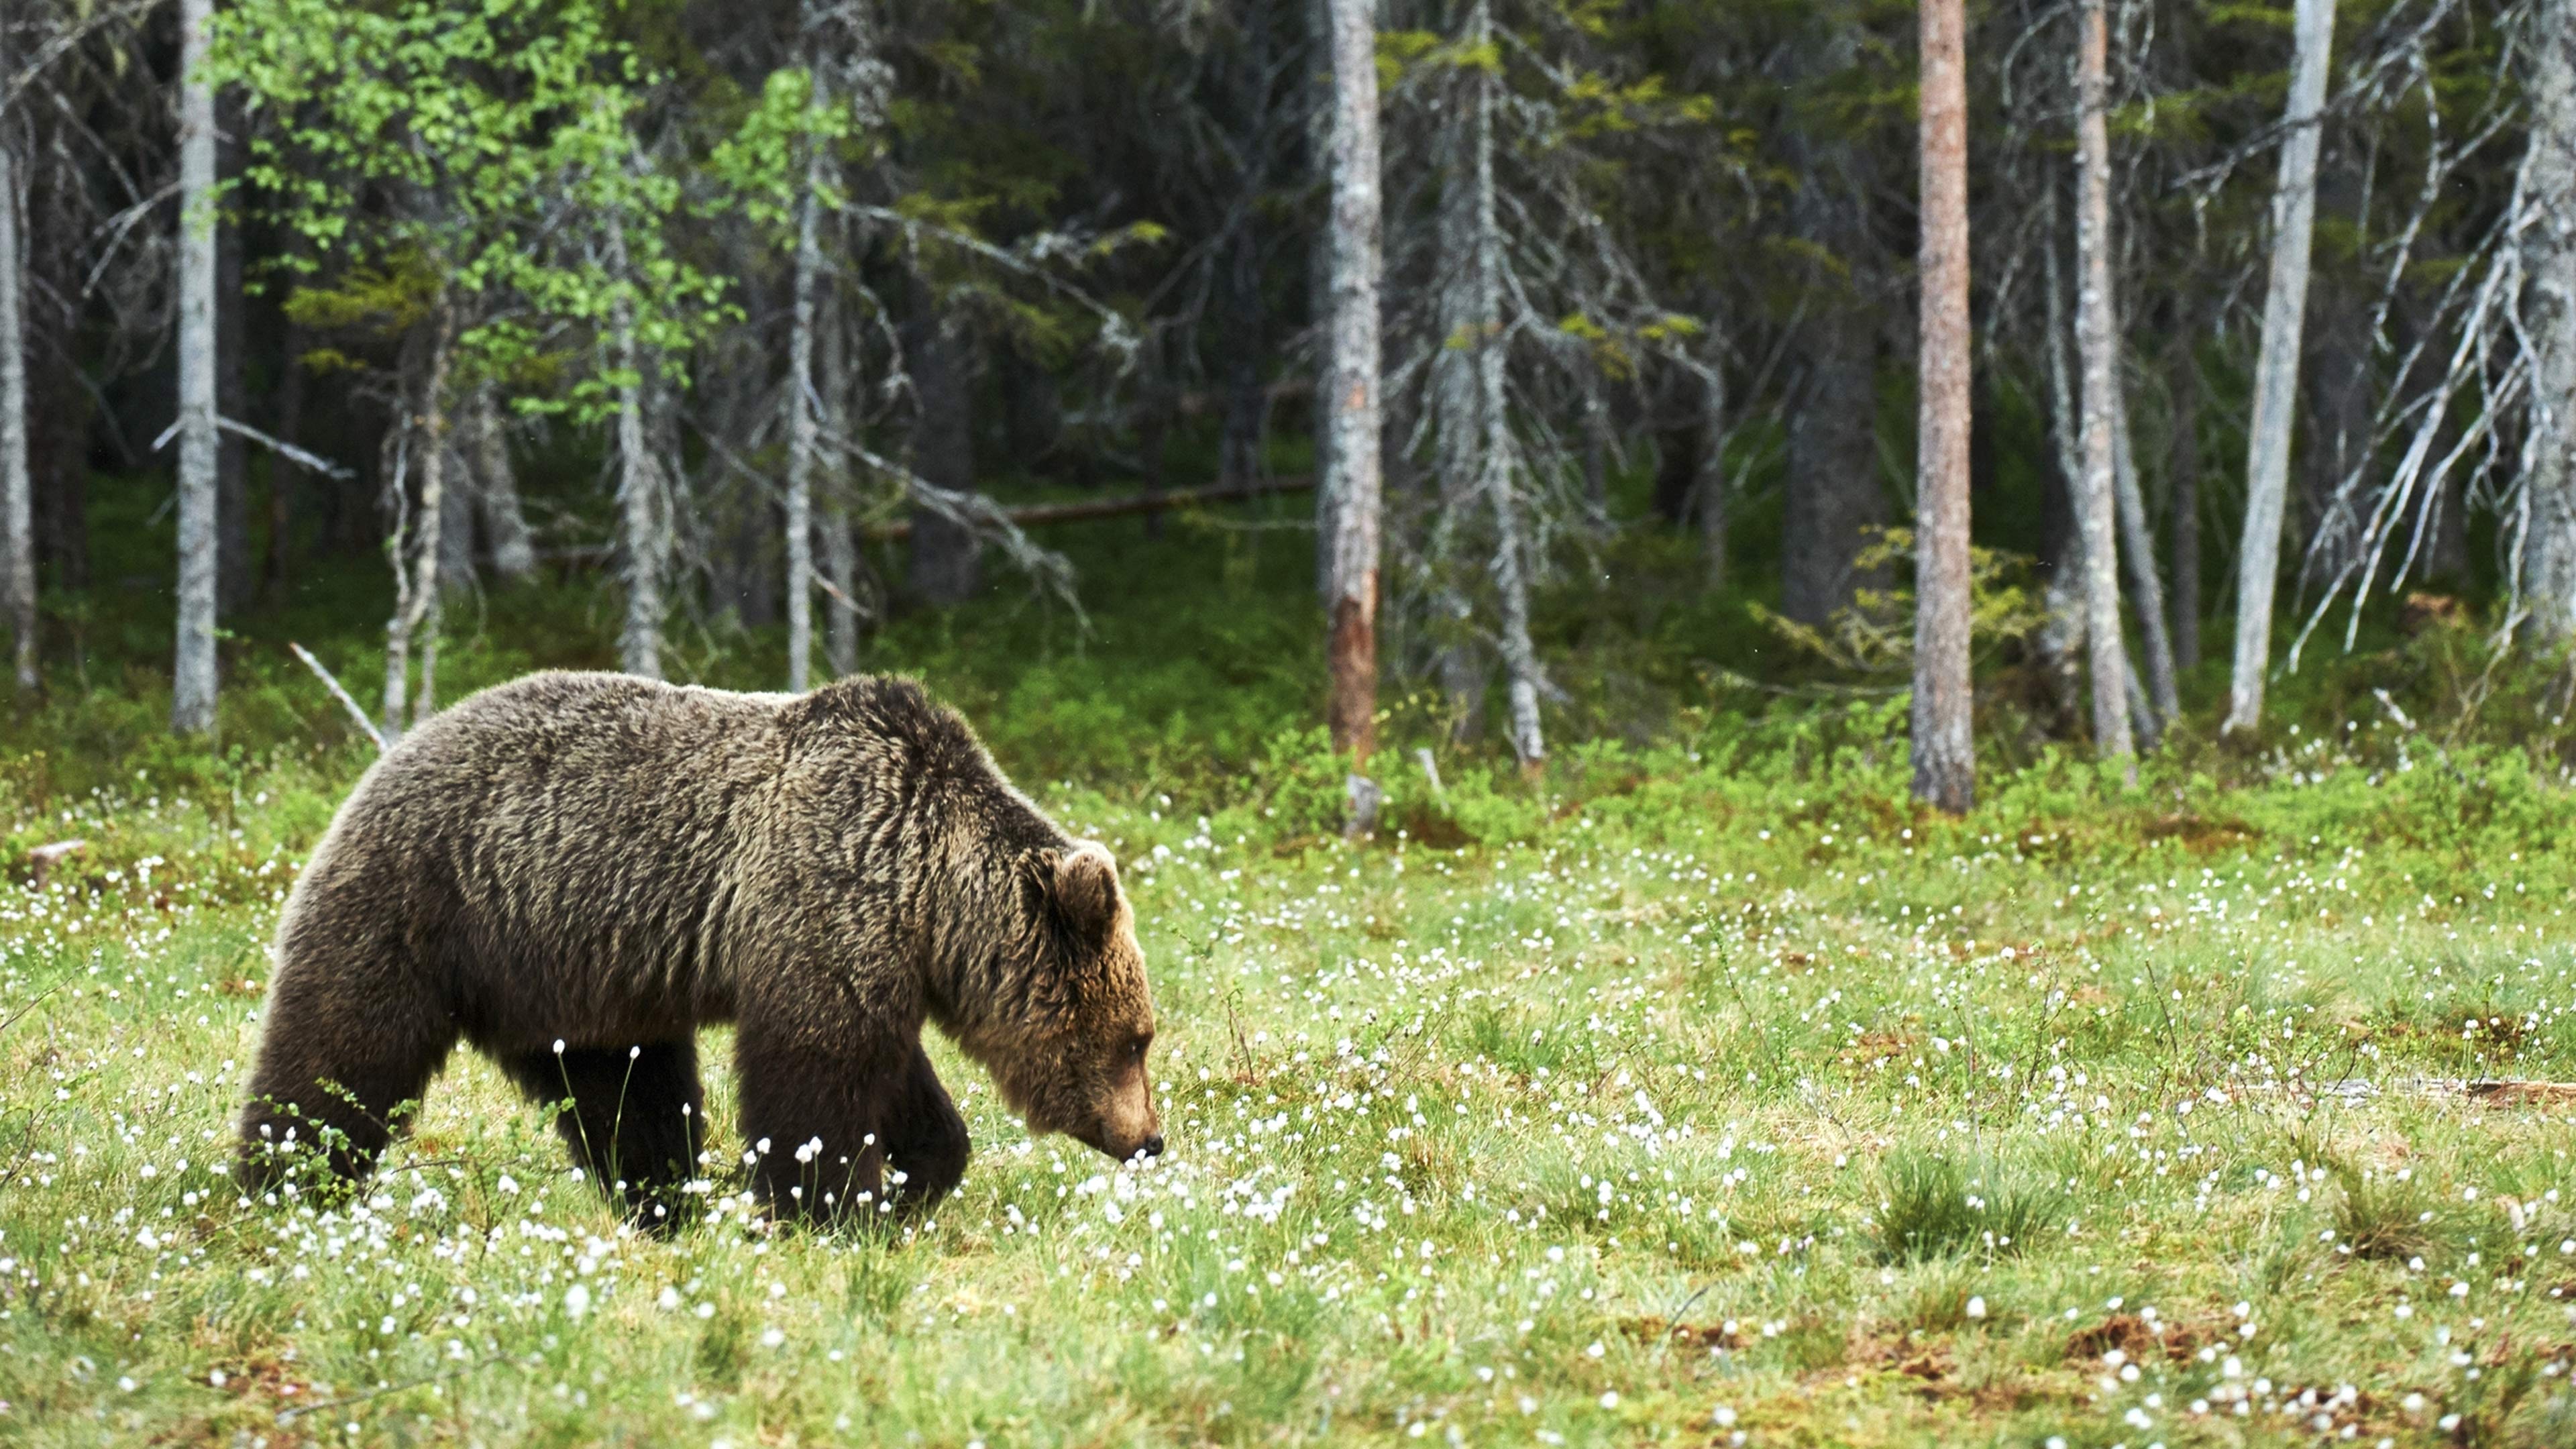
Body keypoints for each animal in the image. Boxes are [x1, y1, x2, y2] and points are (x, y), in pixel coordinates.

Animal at [237, 665, 1164, 1217]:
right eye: (1139, 1037)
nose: (1150, 1138)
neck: (926, 890)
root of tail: (387, 759)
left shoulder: (875, 953)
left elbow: (897, 1081)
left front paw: (913, 1177)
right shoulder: (822, 895)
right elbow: (816, 1081)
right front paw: (828, 1205)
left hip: (571, 979)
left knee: (626, 1095)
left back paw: (662, 1198)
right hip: (422, 907)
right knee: (340, 1053)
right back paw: (282, 1180)